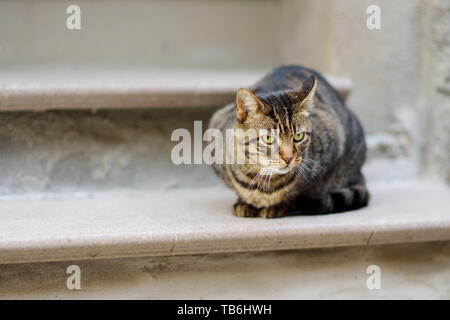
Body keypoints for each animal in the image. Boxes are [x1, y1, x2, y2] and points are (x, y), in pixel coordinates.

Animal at [209, 66, 368, 219]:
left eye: (298, 136)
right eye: (268, 138)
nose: (288, 158)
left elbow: (303, 194)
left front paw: (278, 206)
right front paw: (245, 203)